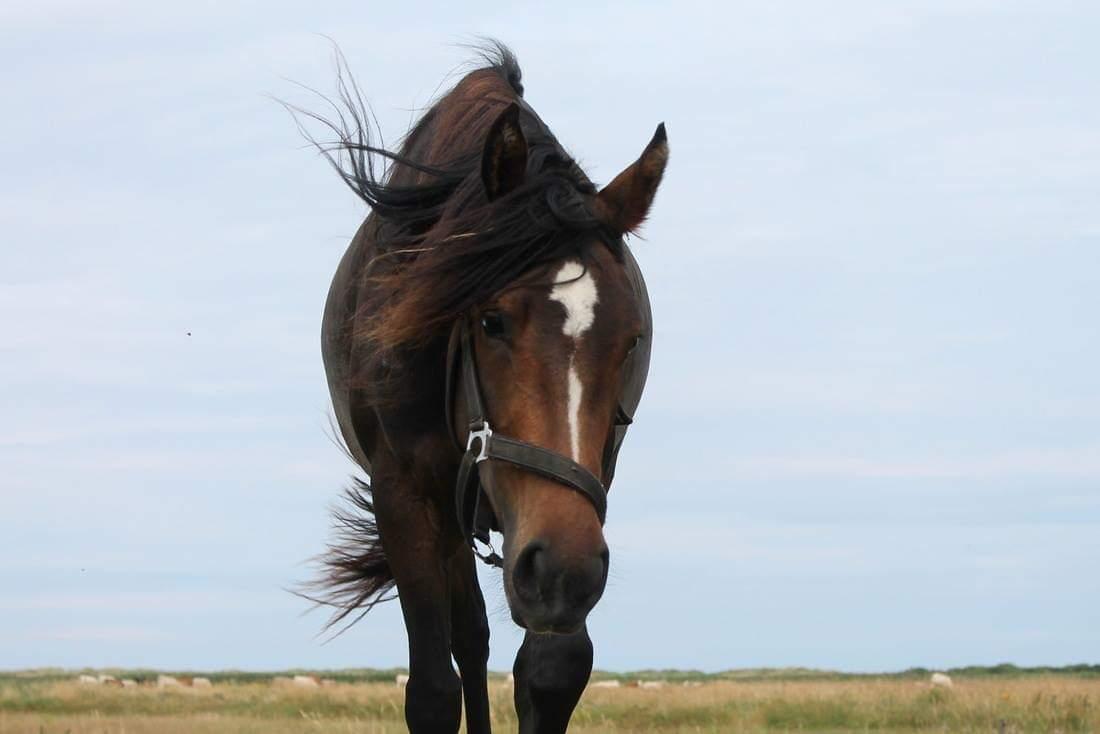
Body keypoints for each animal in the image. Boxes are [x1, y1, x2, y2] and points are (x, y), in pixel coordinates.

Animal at [297, 44, 664, 734]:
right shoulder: (406, 490)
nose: (564, 573)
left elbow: (552, 672)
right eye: (491, 321)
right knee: (468, 639)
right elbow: (435, 689)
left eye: (631, 339)